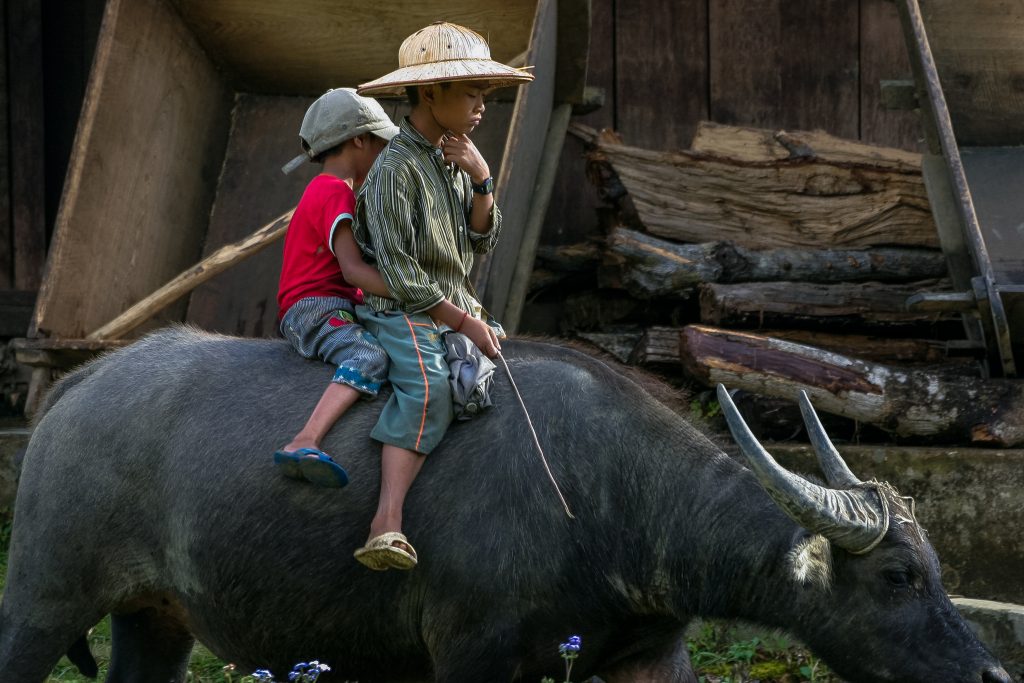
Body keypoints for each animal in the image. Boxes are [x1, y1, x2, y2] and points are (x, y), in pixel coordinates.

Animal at [0, 327, 1013, 682]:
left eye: (936, 570)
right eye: (897, 575)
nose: (991, 675)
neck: (606, 498)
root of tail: (72, 390)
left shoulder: (644, 658)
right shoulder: (472, 655)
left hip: (155, 620)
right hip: (41, 603)